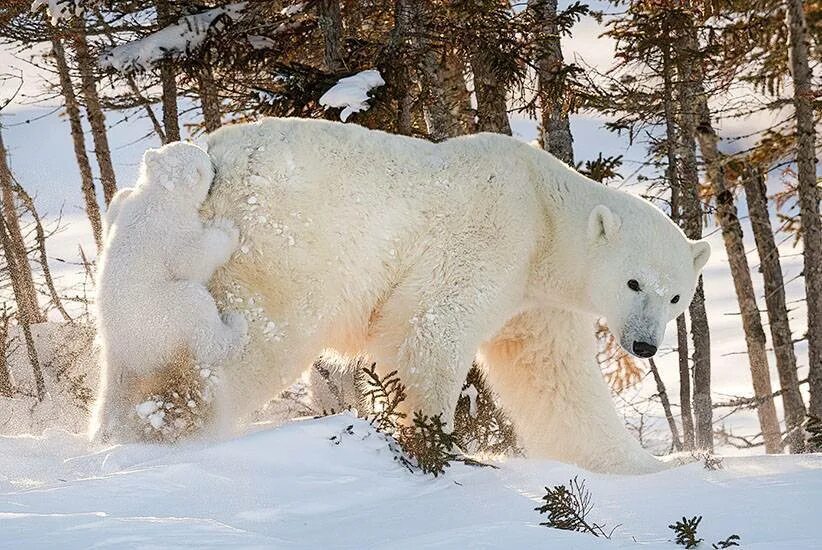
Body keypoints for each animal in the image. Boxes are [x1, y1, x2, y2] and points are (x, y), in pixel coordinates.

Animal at [203, 118, 712, 476]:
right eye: (634, 283)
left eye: (675, 297)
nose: (644, 345)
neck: (543, 211)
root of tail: (213, 156)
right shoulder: (492, 237)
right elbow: (429, 330)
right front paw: (441, 446)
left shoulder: (536, 301)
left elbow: (556, 379)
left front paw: (660, 466)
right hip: (285, 247)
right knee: (258, 341)